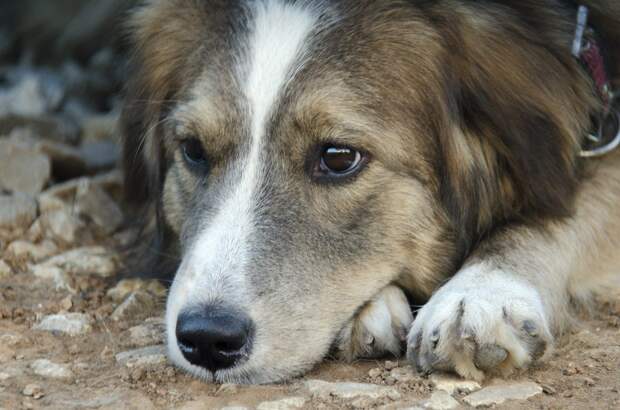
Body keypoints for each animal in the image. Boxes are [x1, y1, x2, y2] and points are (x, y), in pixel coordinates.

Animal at [120, 0, 620, 384]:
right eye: (193, 150)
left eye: (339, 157)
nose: (206, 338)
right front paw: (374, 307)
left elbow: (556, 211)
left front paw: (484, 293)